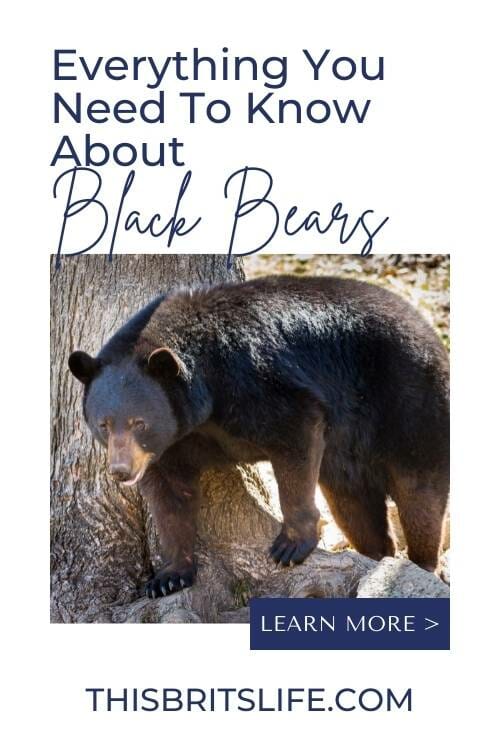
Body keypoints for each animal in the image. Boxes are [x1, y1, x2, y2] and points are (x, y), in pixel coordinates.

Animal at [68, 274, 449, 598]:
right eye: (103, 424)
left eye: (140, 423)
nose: (121, 471)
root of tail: (427, 328)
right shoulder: (171, 443)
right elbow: (170, 497)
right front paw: (169, 576)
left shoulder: (252, 380)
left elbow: (294, 434)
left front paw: (290, 545)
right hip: (350, 455)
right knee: (353, 504)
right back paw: (376, 555)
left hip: (407, 400)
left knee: (419, 491)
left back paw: (422, 563)